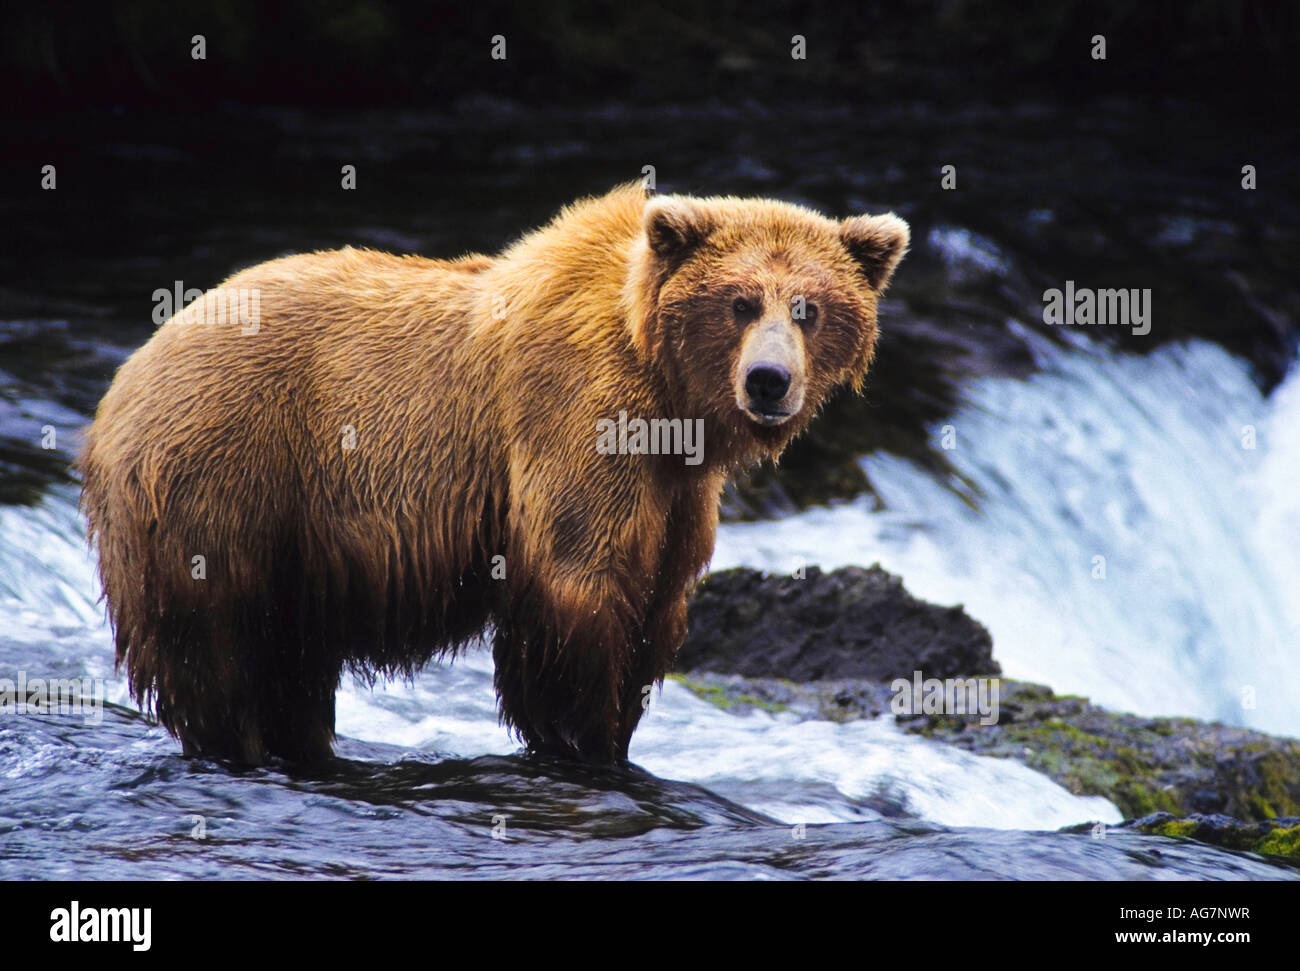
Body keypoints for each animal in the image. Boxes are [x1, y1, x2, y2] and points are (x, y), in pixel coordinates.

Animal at [79, 183, 908, 764]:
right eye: (739, 302)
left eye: (808, 307)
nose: (769, 381)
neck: (669, 396)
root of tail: (123, 378)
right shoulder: (577, 417)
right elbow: (576, 581)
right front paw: (586, 742)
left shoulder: (679, 486)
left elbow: (659, 598)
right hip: (224, 472)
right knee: (218, 646)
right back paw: (239, 743)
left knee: (292, 661)